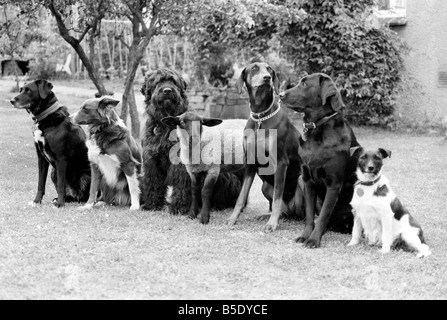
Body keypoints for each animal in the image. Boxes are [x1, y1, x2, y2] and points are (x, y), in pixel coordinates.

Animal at [142, 69, 243, 214]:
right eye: (157, 82)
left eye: (173, 81)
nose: (167, 90)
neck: (167, 124)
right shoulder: (152, 158)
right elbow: (153, 181)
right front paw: (152, 204)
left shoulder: (181, 160)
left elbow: (182, 183)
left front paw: (179, 207)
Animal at [282, 72, 362, 248]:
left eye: (305, 84)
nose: (280, 94)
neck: (318, 130)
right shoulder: (307, 180)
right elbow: (310, 215)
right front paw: (305, 235)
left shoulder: (334, 184)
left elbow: (324, 215)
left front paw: (313, 239)